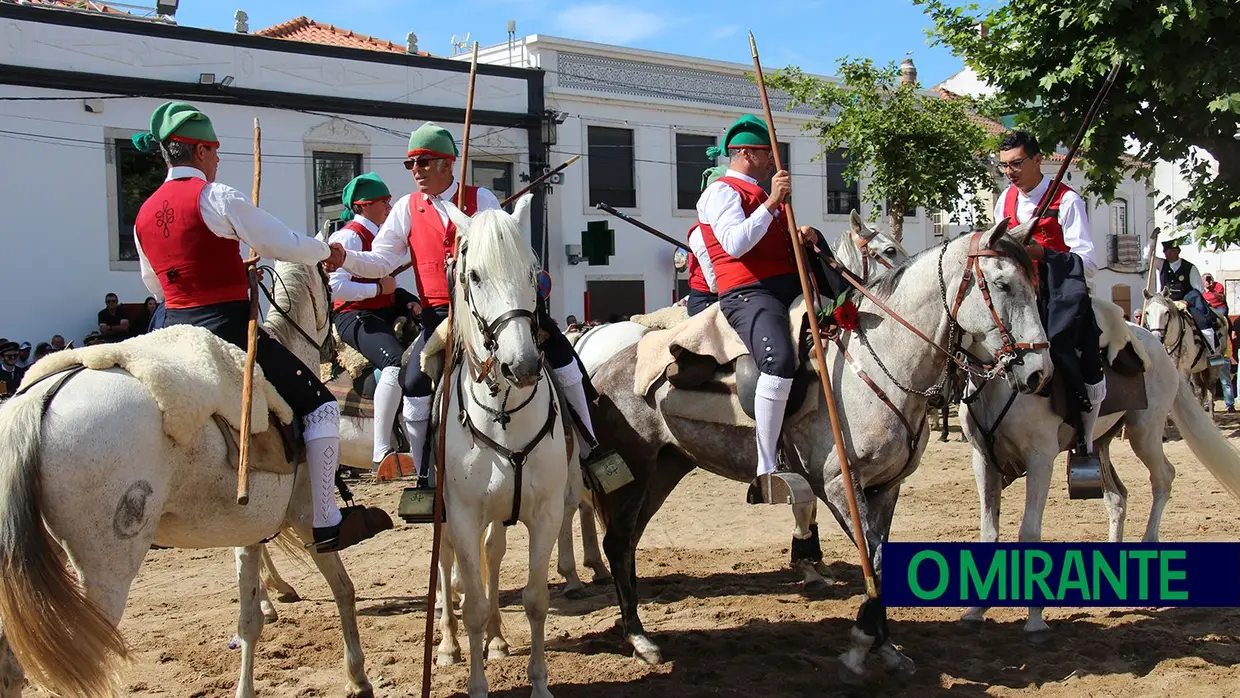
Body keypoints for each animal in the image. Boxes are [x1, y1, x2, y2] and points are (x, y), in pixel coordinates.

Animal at [0, 260, 372, 698]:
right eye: (330, 290)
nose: (337, 355)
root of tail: (38, 398)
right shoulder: (306, 513)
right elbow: (343, 588)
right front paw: (357, 676)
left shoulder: (248, 531)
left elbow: (249, 620)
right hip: (104, 572)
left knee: (10, 665)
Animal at [431, 197, 575, 698]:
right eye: (473, 274)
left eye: (533, 271)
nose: (523, 364)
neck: (504, 411)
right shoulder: (463, 513)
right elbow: (471, 602)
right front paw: (476, 685)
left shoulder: (546, 512)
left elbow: (535, 599)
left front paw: (540, 685)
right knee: (447, 563)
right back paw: (449, 645)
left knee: (493, 557)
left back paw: (495, 638)